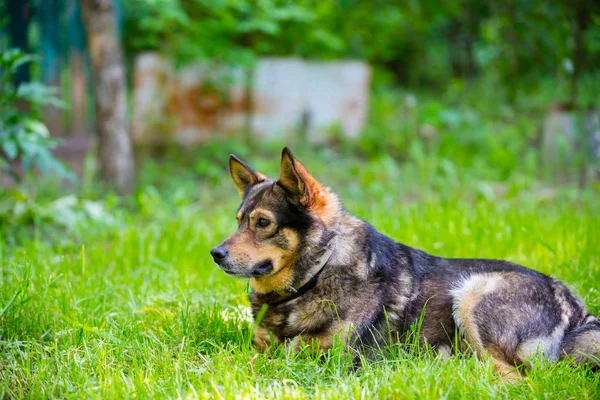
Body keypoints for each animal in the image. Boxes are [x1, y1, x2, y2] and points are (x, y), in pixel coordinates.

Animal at [211, 148, 600, 378]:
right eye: (238, 220)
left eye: (263, 223)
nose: (215, 254)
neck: (317, 272)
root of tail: (578, 311)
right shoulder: (263, 344)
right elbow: (236, 356)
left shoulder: (332, 360)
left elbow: (260, 364)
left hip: (473, 294)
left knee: (516, 378)